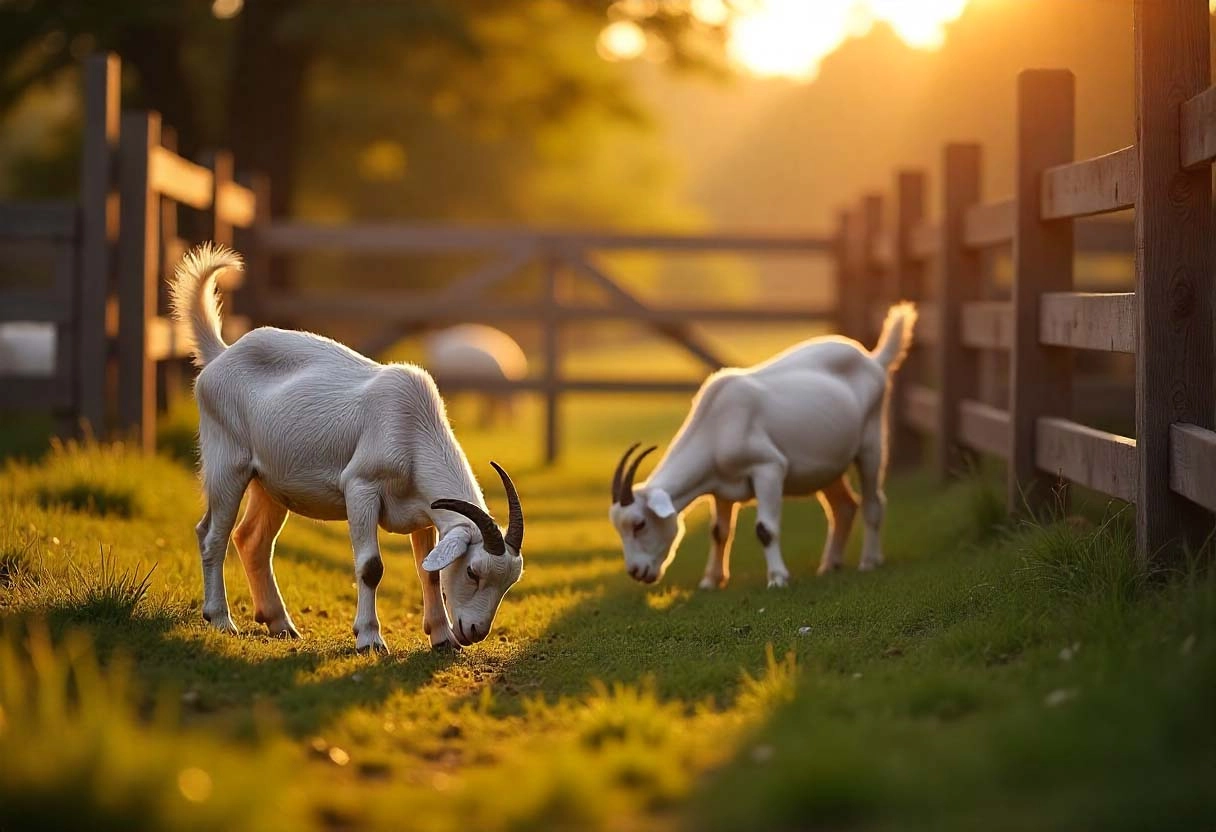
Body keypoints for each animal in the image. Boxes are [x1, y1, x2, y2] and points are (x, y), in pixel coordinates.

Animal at [169, 243, 525, 652]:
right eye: (473, 571)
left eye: (508, 581)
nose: (475, 631)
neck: (412, 427)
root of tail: (219, 355)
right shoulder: (360, 488)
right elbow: (371, 567)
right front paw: (370, 639)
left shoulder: (423, 514)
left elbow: (429, 573)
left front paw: (442, 637)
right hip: (227, 461)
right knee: (213, 535)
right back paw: (221, 620)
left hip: (270, 483)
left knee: (251, 540)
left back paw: (280, 624)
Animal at [608, 303, 917, 589]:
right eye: (619, 527)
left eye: (639, 523)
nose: (636, 572)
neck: (717, 424)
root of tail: (874, 360)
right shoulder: (720, 489)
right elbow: (718, 531)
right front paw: (711, 581)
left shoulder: (768, 468)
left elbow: (765, 529)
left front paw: (778, 577)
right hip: (828, 466)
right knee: (844, 506)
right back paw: (829, 565)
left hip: (872, 442)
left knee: (873, 500)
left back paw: (869, 561)